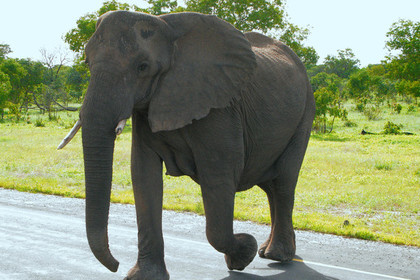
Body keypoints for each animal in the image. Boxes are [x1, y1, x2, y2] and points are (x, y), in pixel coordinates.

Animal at [58, 9, 316, 280]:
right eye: (87, 63)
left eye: (143, 67)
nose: (116, 264)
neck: (166, 26)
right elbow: (143, 175)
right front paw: (144, 276)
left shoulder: (220, 108)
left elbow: (219, 177)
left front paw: (245, 251)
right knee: (271, 187)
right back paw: (268, 252)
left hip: (305, 113)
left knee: (284, 182)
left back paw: (276, 256)